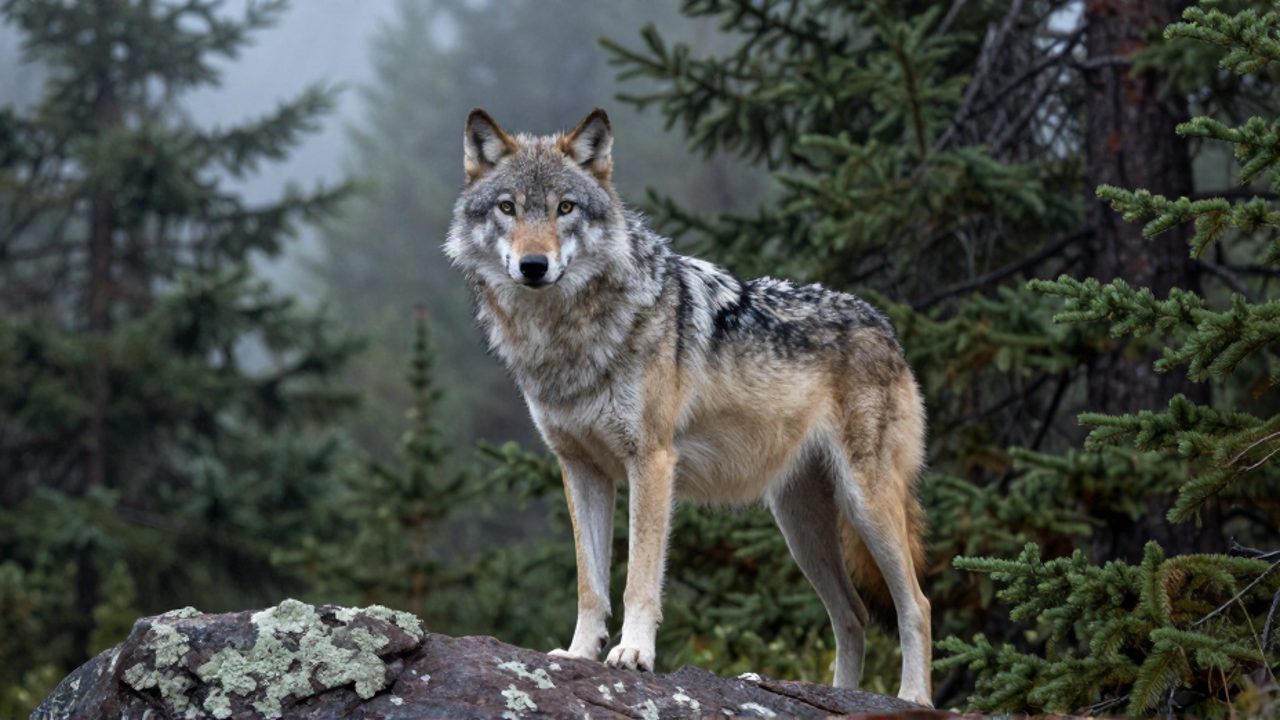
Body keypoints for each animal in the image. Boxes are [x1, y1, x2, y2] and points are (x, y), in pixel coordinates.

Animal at [444, 108, 932, 705]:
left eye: (565, 208)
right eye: (508, 207)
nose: (534, 265)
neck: (566, 338)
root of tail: (885, 325)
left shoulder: (651, 462)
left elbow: (638, 580)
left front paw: (632, 654)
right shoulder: (580, 470)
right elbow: (590, 584)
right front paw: (578, 654)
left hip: (865, 505)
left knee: (916, 605)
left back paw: (914, 699)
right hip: (801, 529)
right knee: (854, 616)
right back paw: (837, 696)